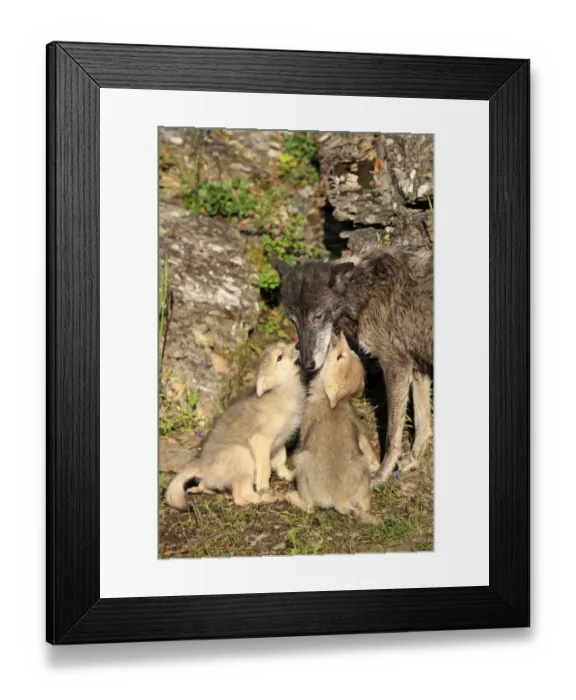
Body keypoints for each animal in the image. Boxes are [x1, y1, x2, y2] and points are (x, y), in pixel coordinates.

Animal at [165, 341, 305, 510]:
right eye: (279, 357)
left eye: (284, 344)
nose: (298, 345)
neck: (283, 391)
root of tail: (201, 466)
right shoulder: (261, 440)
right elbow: (265, 470)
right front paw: (264, 489)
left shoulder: (278, 442)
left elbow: (280, 460)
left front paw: (288, 475)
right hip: (242, 455)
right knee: (240, 496)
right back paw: (267, 498)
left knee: (206, 486)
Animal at [276, 245, 433, 482]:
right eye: (294, 321)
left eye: (318, 316)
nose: (307, 364)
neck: (366, 294)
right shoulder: (417, 366)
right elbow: (423, 424)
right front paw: (414, 460)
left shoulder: (397, 366)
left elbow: (392, 435)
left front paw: (382, 474)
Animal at [286, 332, 380, 524]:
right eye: (349, 353)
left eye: (339, 357)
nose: (340, 334)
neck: (336, 402)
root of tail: (340, 500)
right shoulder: (358, 428)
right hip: (362, 471)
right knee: (365, 505)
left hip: (301, 463)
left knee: (309, 507)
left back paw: (290, 496)